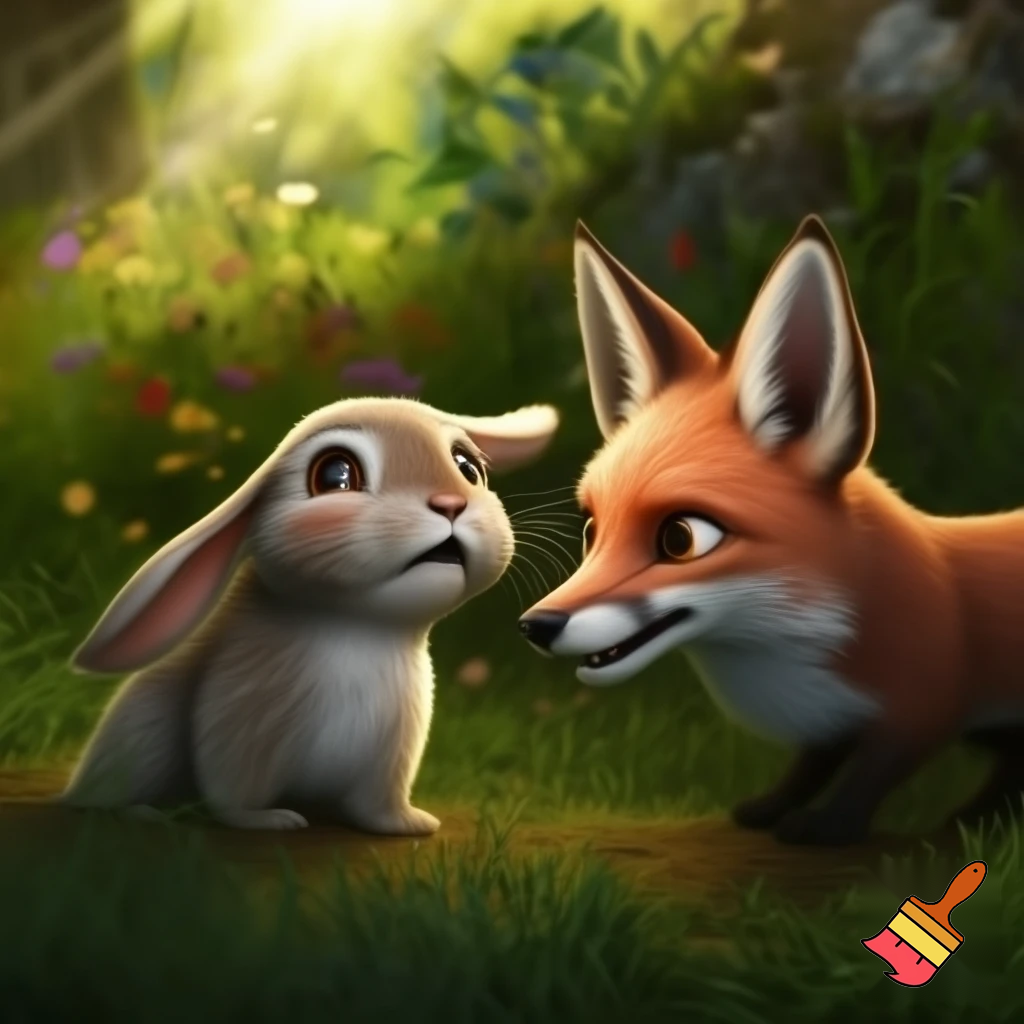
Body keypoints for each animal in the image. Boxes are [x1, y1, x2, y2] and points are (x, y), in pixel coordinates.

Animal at [61, 397, 559, 833]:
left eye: (467, 467)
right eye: (335, 474)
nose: (451, 504)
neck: (355, 630)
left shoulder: (391, 756)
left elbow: (378, 807)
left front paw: (411, 825)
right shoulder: (237, 721)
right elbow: (230, 793)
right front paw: (269, 821)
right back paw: (145, 814)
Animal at [517, 214, 1024, 846]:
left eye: (680, 538)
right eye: (592, 529)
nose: (535, 625)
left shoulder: (923, 708)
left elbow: (871, 772)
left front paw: (829, 826)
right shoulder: (833, 718)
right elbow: (813, 764)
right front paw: (771, 807)